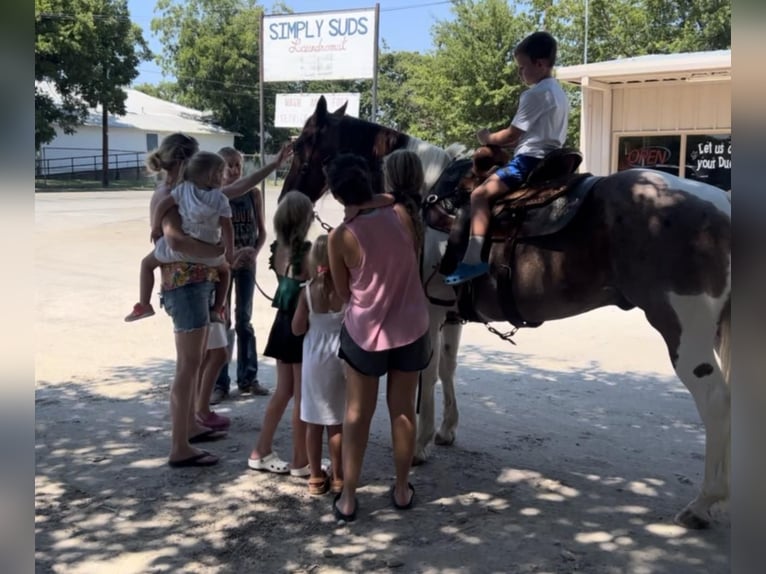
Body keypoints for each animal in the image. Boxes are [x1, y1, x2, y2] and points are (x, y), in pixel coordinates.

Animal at [282, 95, 732, 532]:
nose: (289, 195)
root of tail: (721, 203)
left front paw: (420, 444)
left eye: (303, 145)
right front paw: (446, 430)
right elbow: (447, 367)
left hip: (684, 331)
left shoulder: (426, 310)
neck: (423, 193)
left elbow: (427, 374)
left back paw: (703, 503)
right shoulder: (449, 313)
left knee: (716, 401)